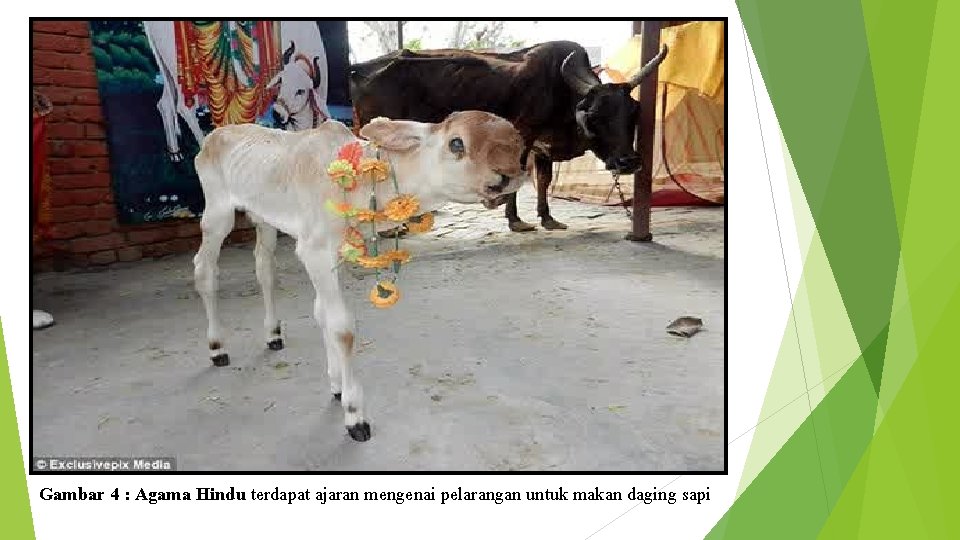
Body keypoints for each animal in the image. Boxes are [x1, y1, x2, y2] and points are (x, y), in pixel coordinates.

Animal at [192, 112, 528, 440]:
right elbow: (342, 328)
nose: (509, 175)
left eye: (515, 143)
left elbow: (322, 313)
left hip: (263, 220)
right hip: (218, 213)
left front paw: (336, 385)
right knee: (204, 270)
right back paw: (217, 347)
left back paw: (273, 334)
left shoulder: (336, 253)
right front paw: (354, 414)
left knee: (264, 268)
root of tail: (214, 136)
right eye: (456, 143)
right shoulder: (314, 250)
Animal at [350, 39, 668, 230]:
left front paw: (547, 217)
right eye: (594, 116)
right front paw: (515, 220)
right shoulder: (523, 138)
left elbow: (543, 180)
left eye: (633, 112)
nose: (628, 162)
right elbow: (515, 180)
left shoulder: (542, 148)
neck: (560, 92)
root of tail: (359, 69)